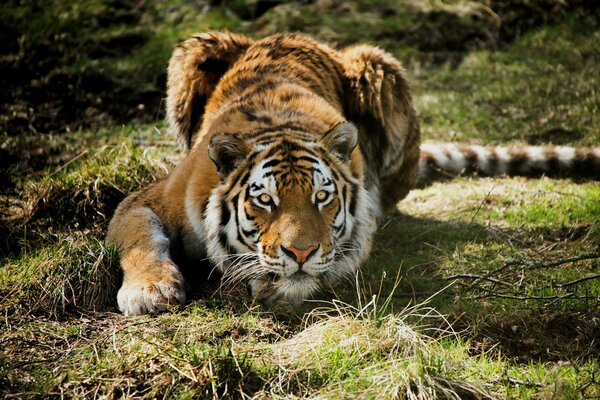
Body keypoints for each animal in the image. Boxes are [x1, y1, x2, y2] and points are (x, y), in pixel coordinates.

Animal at [108, 31, 600, 316]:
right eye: (264, 200)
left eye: (322, 198)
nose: (300, 253)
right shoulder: (147, 199)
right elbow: (141, 238)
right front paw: (150, 291)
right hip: (194, 48)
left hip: (379, 67)